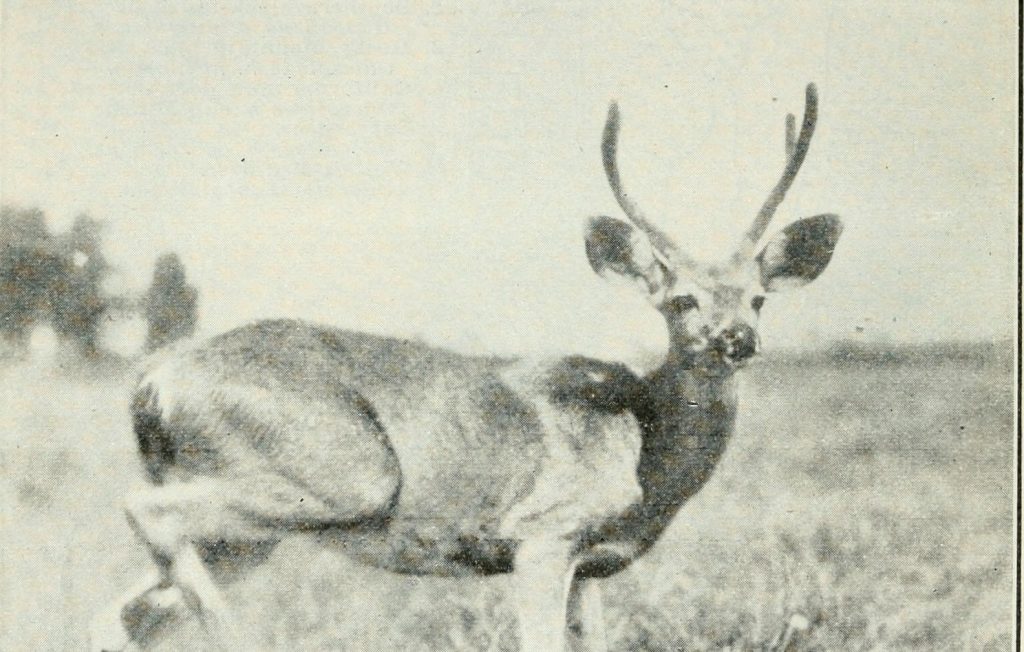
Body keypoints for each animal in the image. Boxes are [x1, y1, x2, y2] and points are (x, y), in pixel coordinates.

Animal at [89, 83, 842, 652]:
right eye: (680, 299)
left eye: (759, 297)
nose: (737, 339)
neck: (645, 449)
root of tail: (152, 381)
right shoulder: (541, 536)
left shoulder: (590, 569)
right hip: (342, 475)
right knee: (141, 518)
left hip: (249, 534)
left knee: (131, 612)